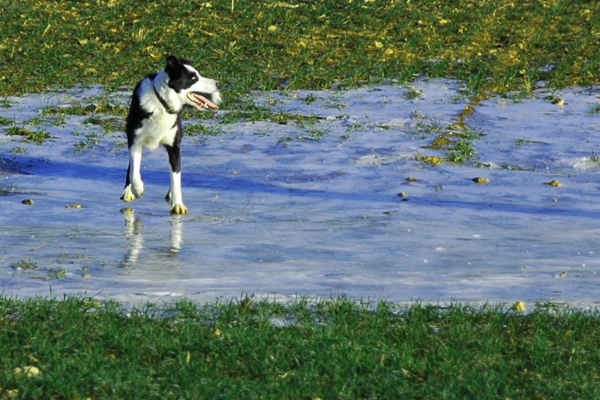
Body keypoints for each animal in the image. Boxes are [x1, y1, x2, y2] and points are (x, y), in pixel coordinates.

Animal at [119, 55, 220, 216]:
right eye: (193, 78)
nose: (218, 84)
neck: (161, 104)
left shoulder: (174, 146)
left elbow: (176, 176)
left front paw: (178, 204)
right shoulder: (134, 140)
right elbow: (134, 169)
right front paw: (137, 188)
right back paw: (129, 190)